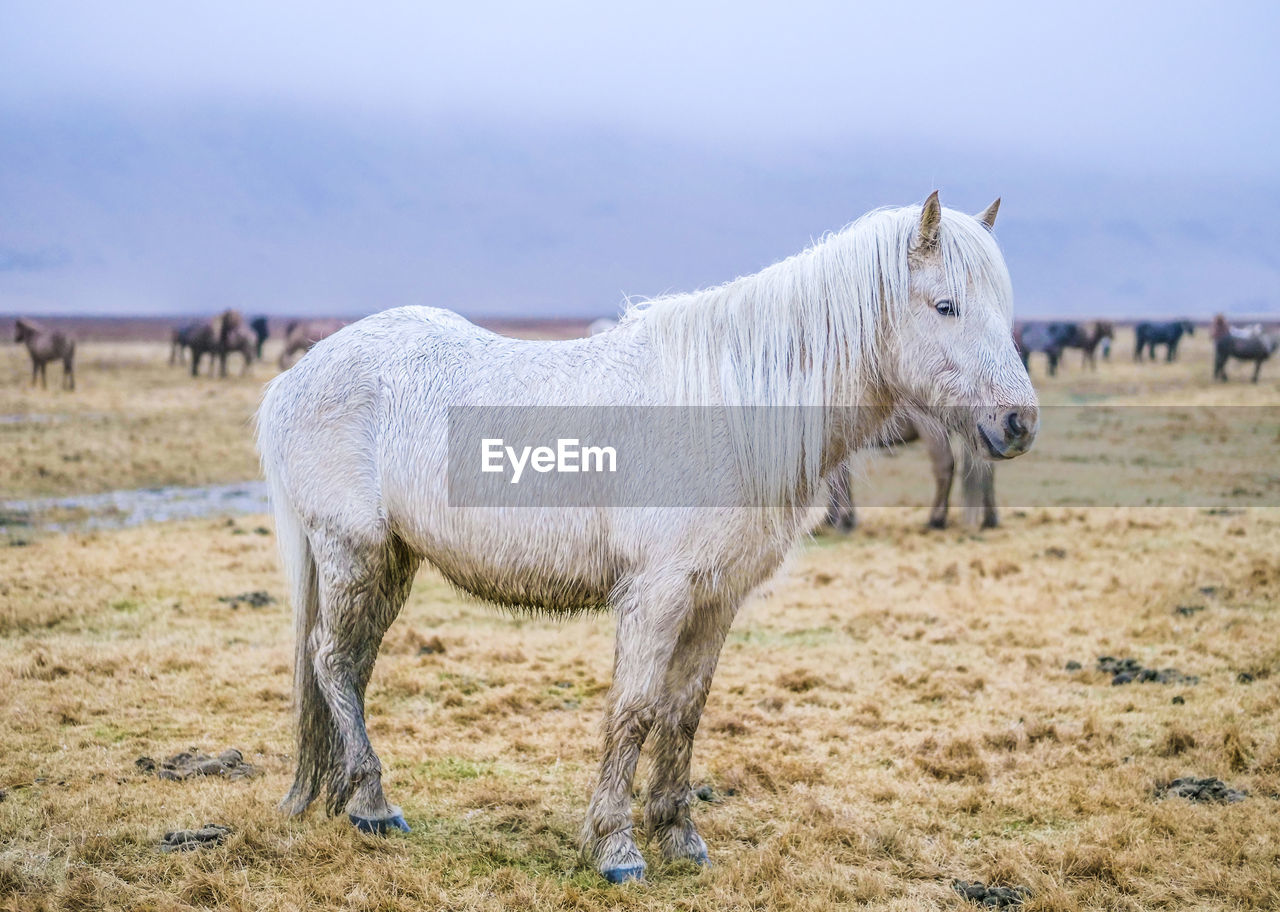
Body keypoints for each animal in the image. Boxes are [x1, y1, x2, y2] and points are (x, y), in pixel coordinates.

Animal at [257, 194, 1039, 881]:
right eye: (946, 305)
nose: (1019, 424)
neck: (729, 405)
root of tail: (298, 377)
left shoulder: (717, 598)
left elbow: (683, 714)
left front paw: (680, 838)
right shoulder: (656, 594)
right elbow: (633, 711)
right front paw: (616, 849)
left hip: (392, 561)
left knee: (352, 667)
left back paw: (347, 799)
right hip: (354, 553)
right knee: (332, 662)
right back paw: (374, 805)